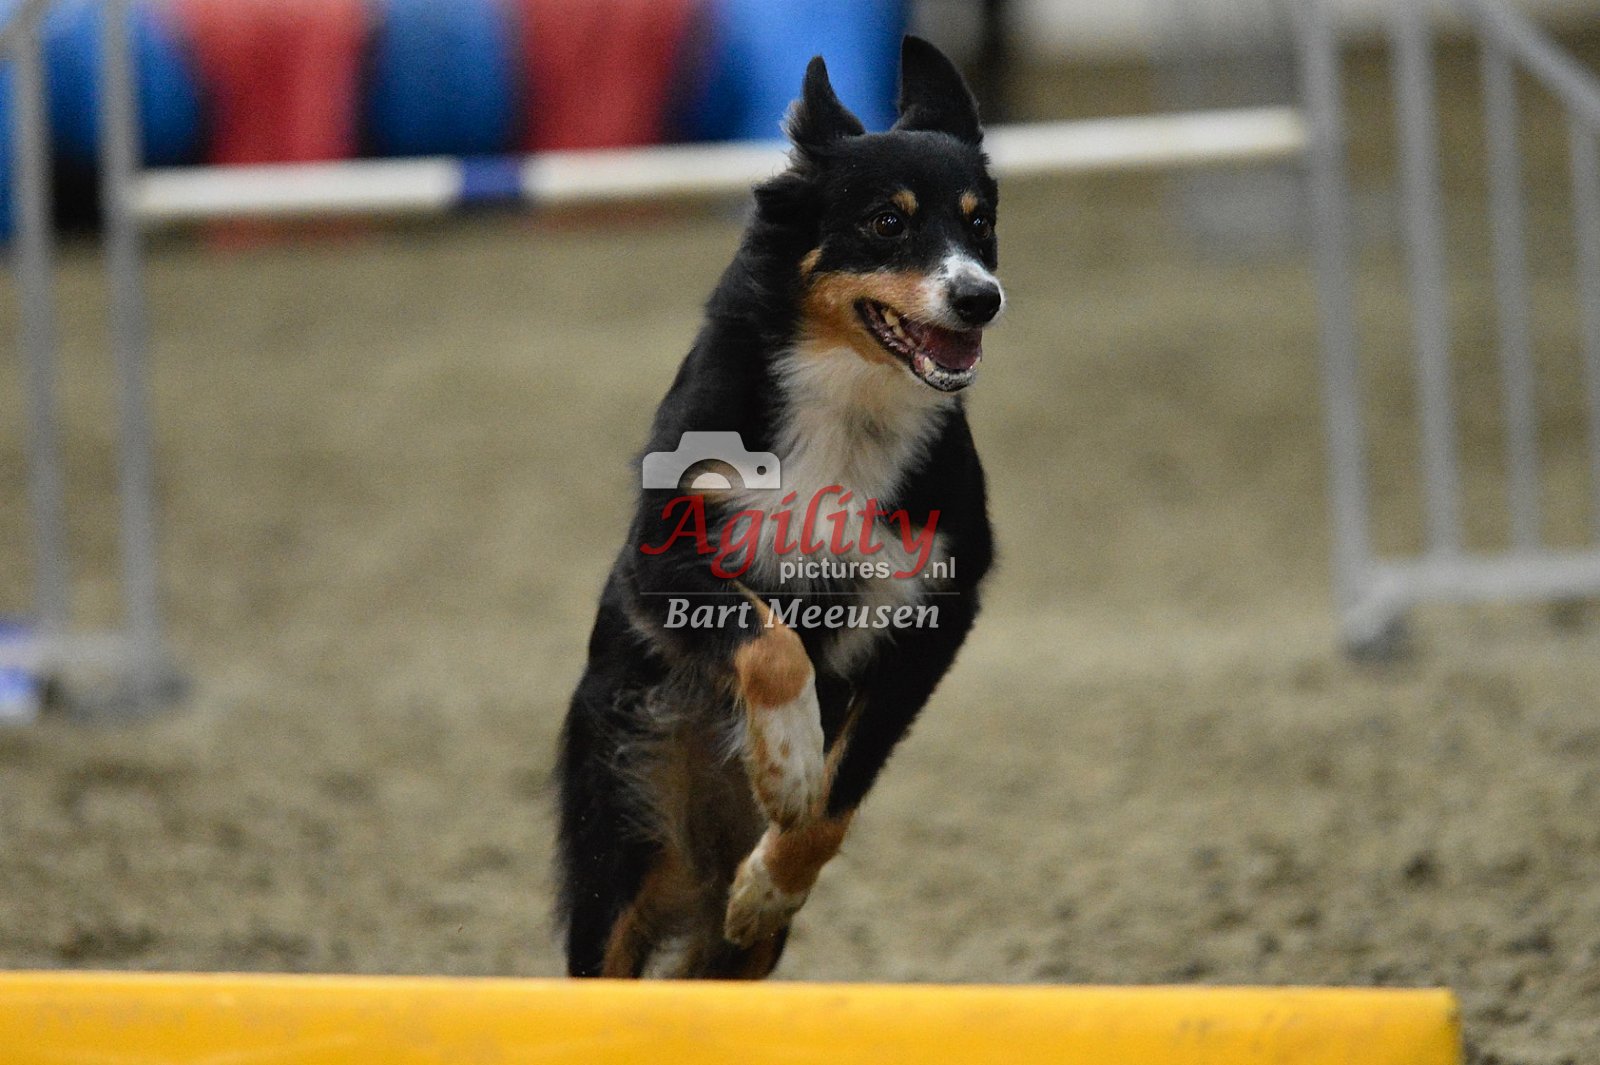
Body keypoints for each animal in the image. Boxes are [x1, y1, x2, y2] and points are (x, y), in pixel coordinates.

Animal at [556, 36, 1001, 979]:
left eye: (981, 221)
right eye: (887, 222)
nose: (981, 296)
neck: (849, 394)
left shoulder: (936, 610)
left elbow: (839, 790)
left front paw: (772, 874)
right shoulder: (659, 558)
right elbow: (768, 638)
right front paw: (788, 761)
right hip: (624, 826)